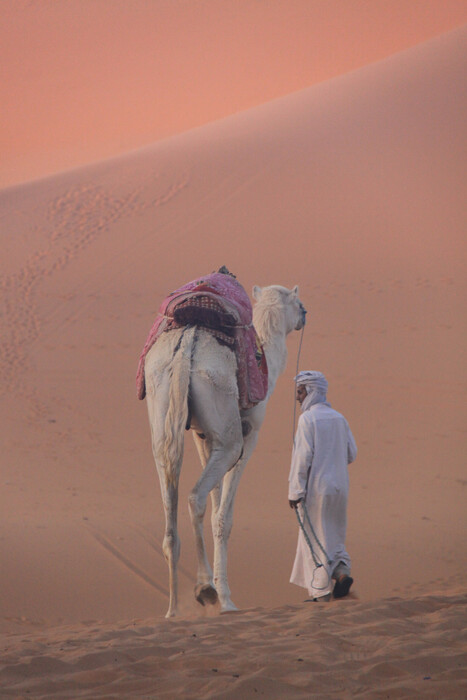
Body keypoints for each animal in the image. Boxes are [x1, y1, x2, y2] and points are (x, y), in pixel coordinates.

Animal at [145, 278, 308, 616]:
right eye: (298, 304)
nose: (305, 315)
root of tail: (187, 349)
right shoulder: (248, 436)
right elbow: (224, 517)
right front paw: (227, 599)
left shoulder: (203, 436)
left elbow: (215, 505)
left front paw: (216, 590)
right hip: (227, 427)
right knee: (195, 495)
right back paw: (207, 591)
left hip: (161, 407)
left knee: (170, 492)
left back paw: (173, 610)